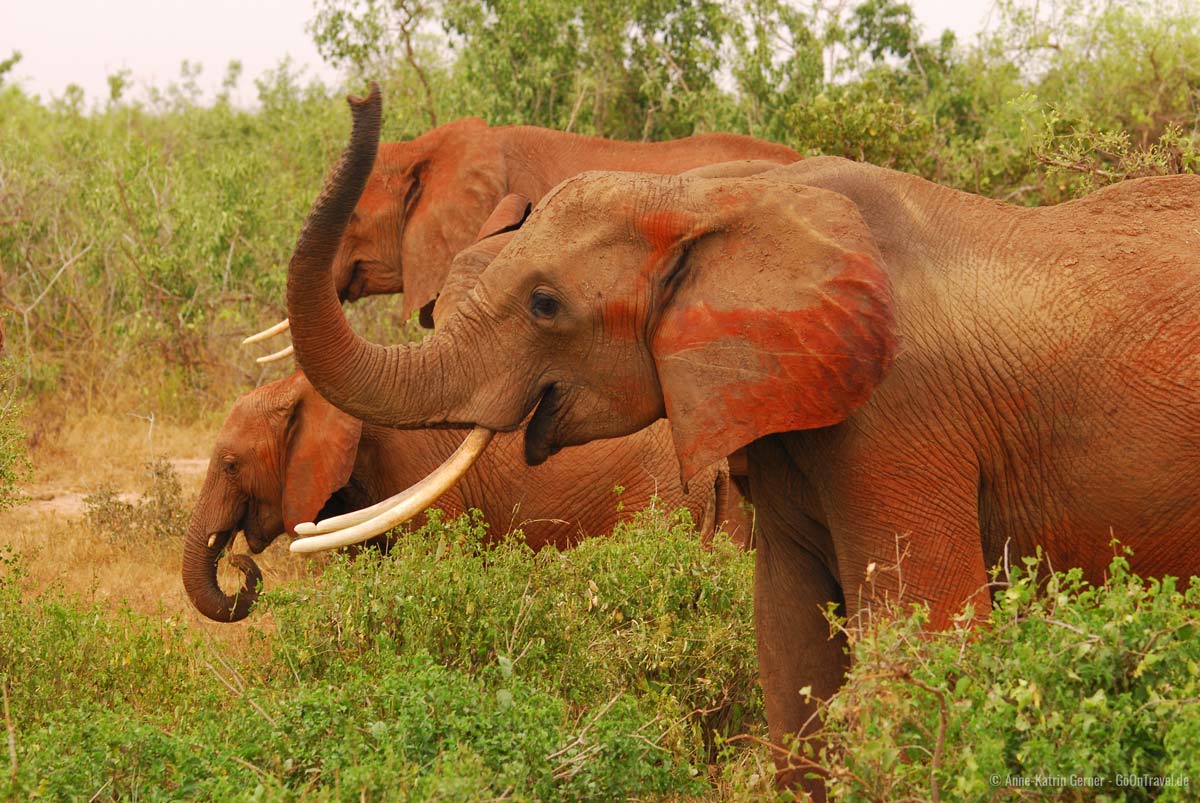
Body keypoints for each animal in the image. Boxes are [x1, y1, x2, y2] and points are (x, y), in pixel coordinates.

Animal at [278, 87, 1200, 796]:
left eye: (544, 305)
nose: (362, 96)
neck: (714, 200)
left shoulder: (904, 416)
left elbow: (924, 644)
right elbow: (793, 661)